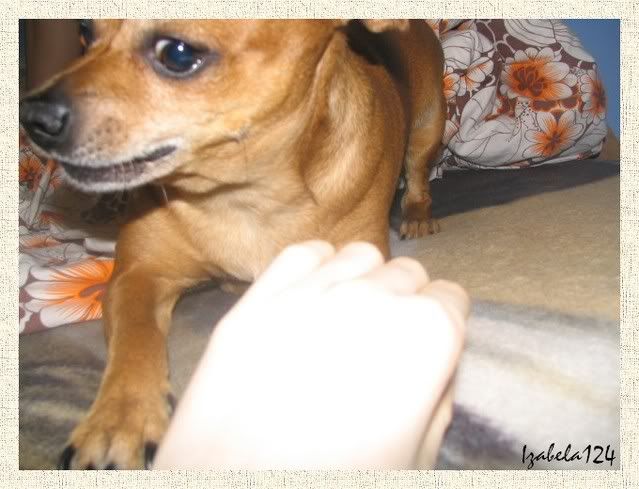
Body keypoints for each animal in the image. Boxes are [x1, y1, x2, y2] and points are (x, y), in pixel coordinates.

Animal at [19, 19, 446, 469]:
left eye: (178, 54)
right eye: (84, 32)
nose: (31, 116)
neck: (242, 196)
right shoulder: (138, 277)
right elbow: (136, 340)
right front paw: (119, 420)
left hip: (428, 122)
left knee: (419, 171)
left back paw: (417, 213)